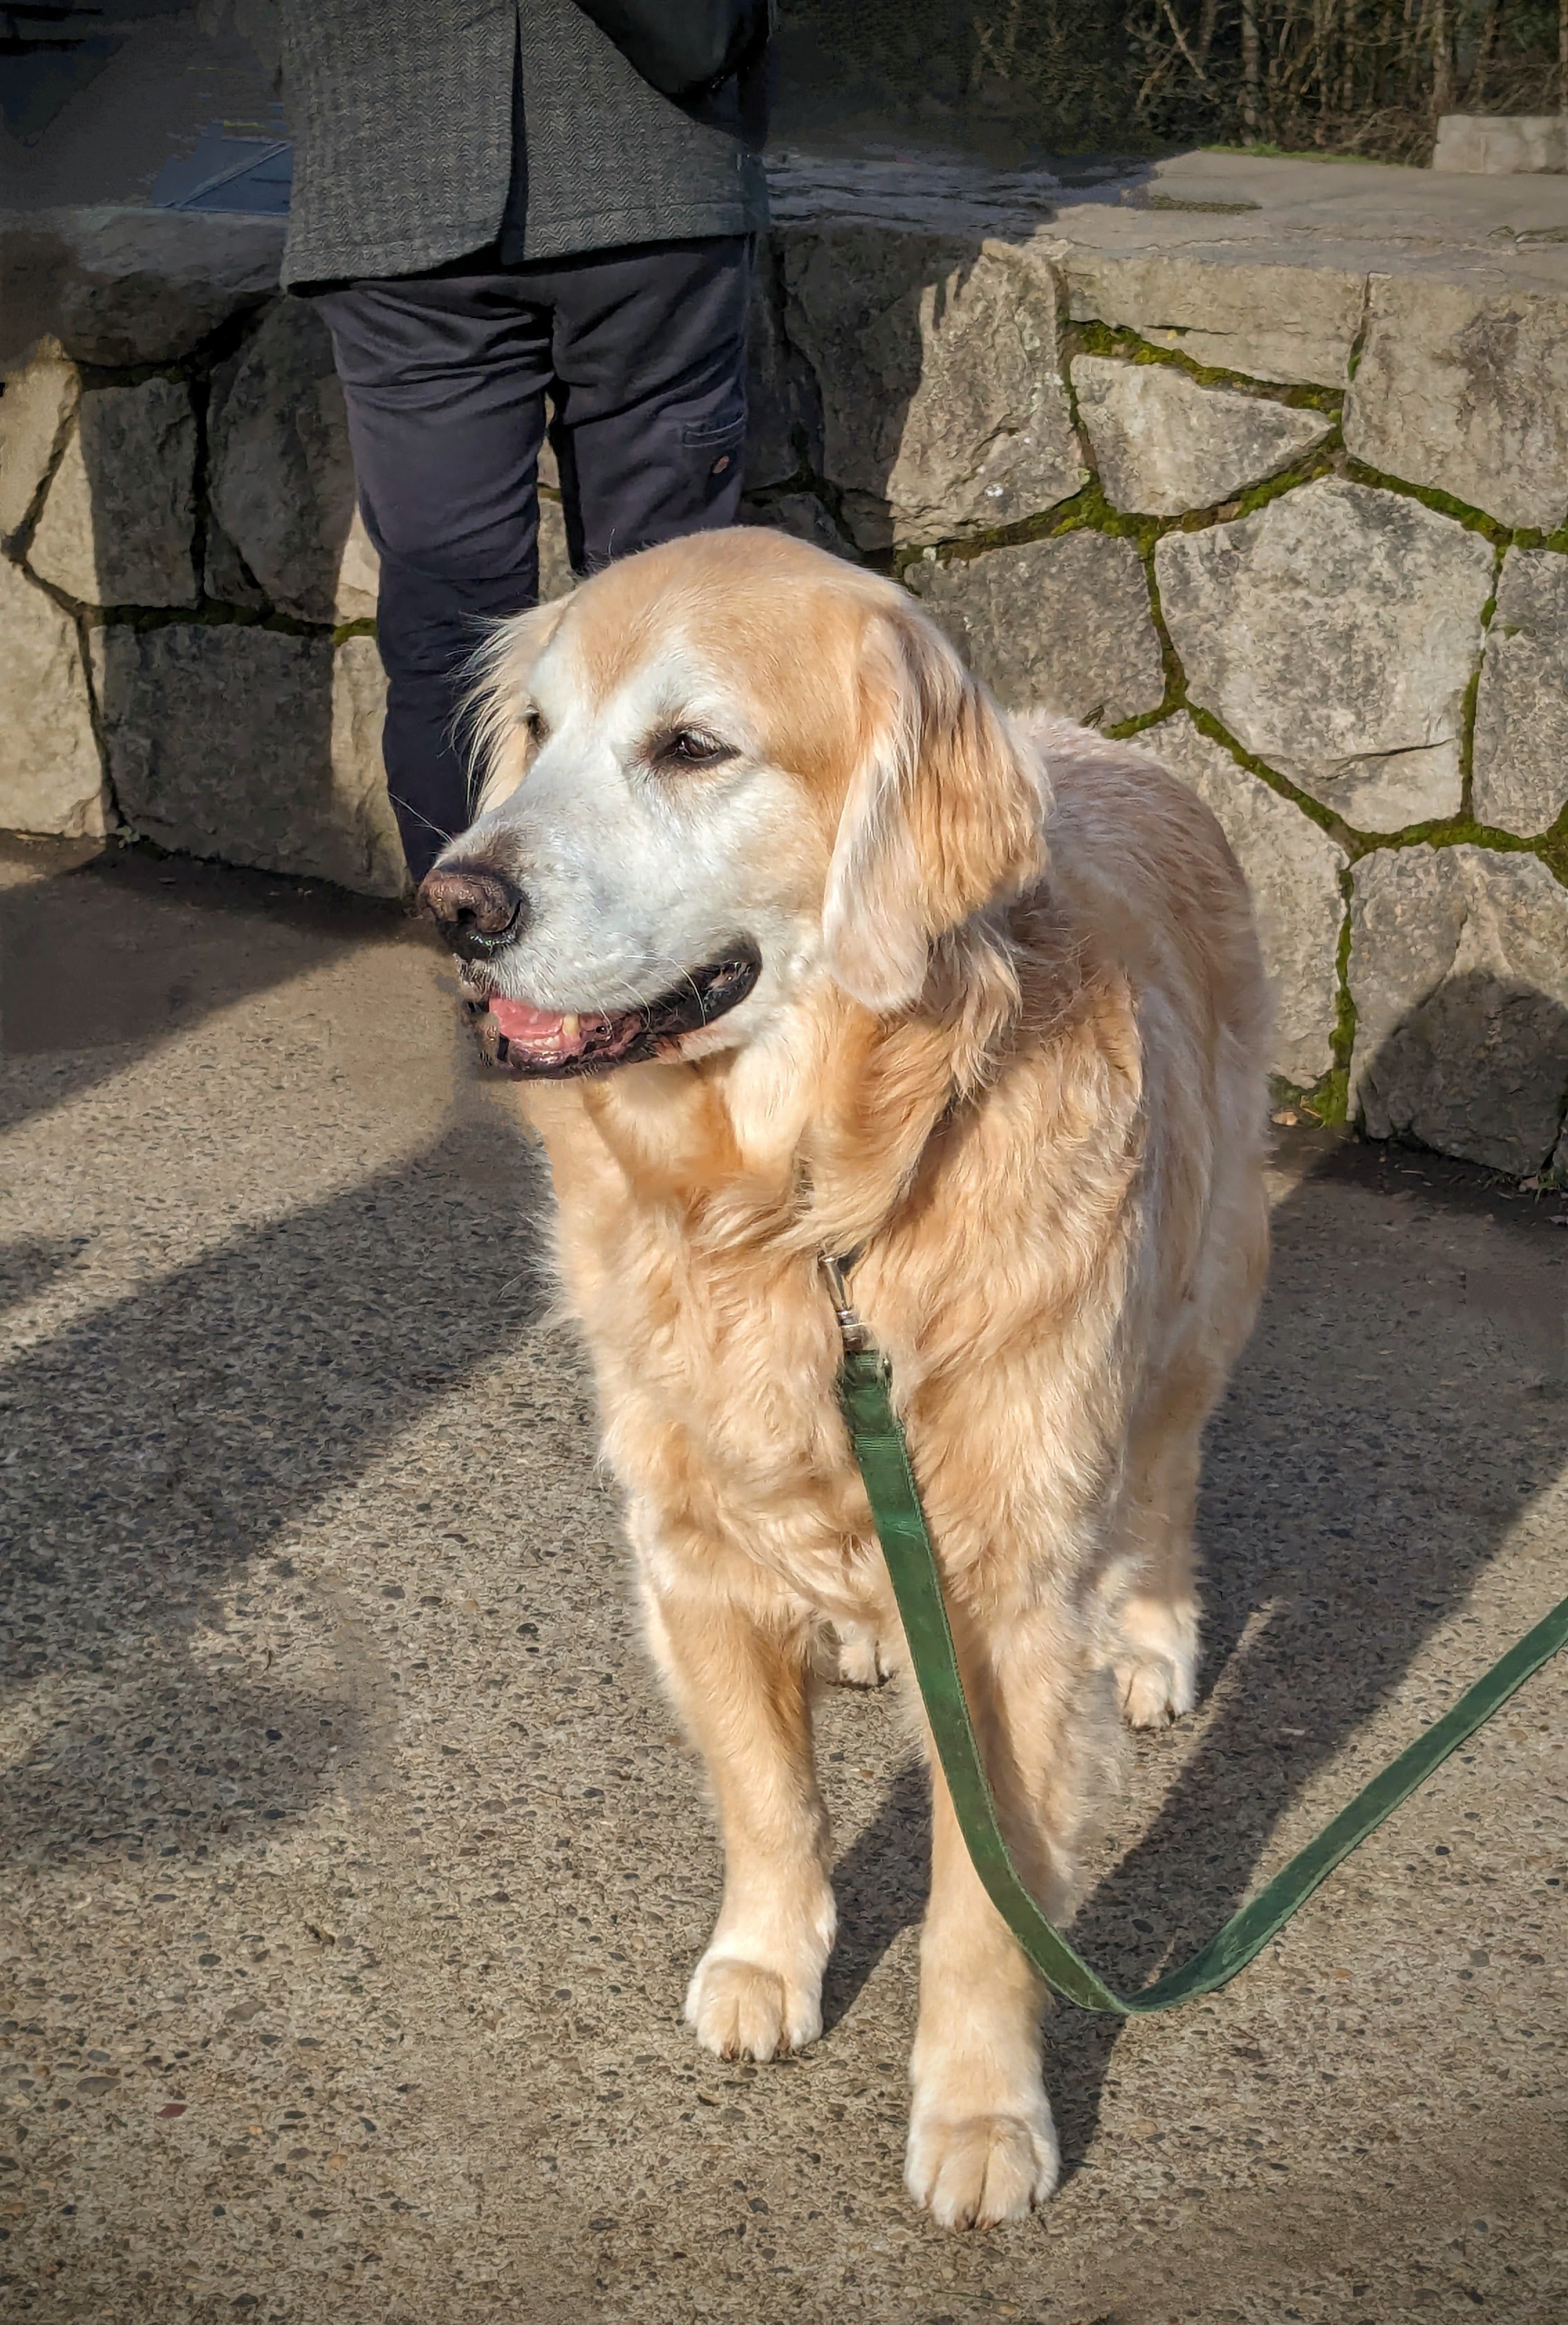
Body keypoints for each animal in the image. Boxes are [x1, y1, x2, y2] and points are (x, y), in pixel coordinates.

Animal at [420, 528, 1273, 2232]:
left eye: (693, 748)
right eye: (536, 729)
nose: (453, 901)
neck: (802, 1216)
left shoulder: (1008, 1600)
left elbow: (983, 1908)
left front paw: (981, 2113)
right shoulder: (682, 1544)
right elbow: (766, 1792)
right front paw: (765, 1961)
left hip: (1197, 1297)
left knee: (1164, 1477)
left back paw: (1152, 1634)